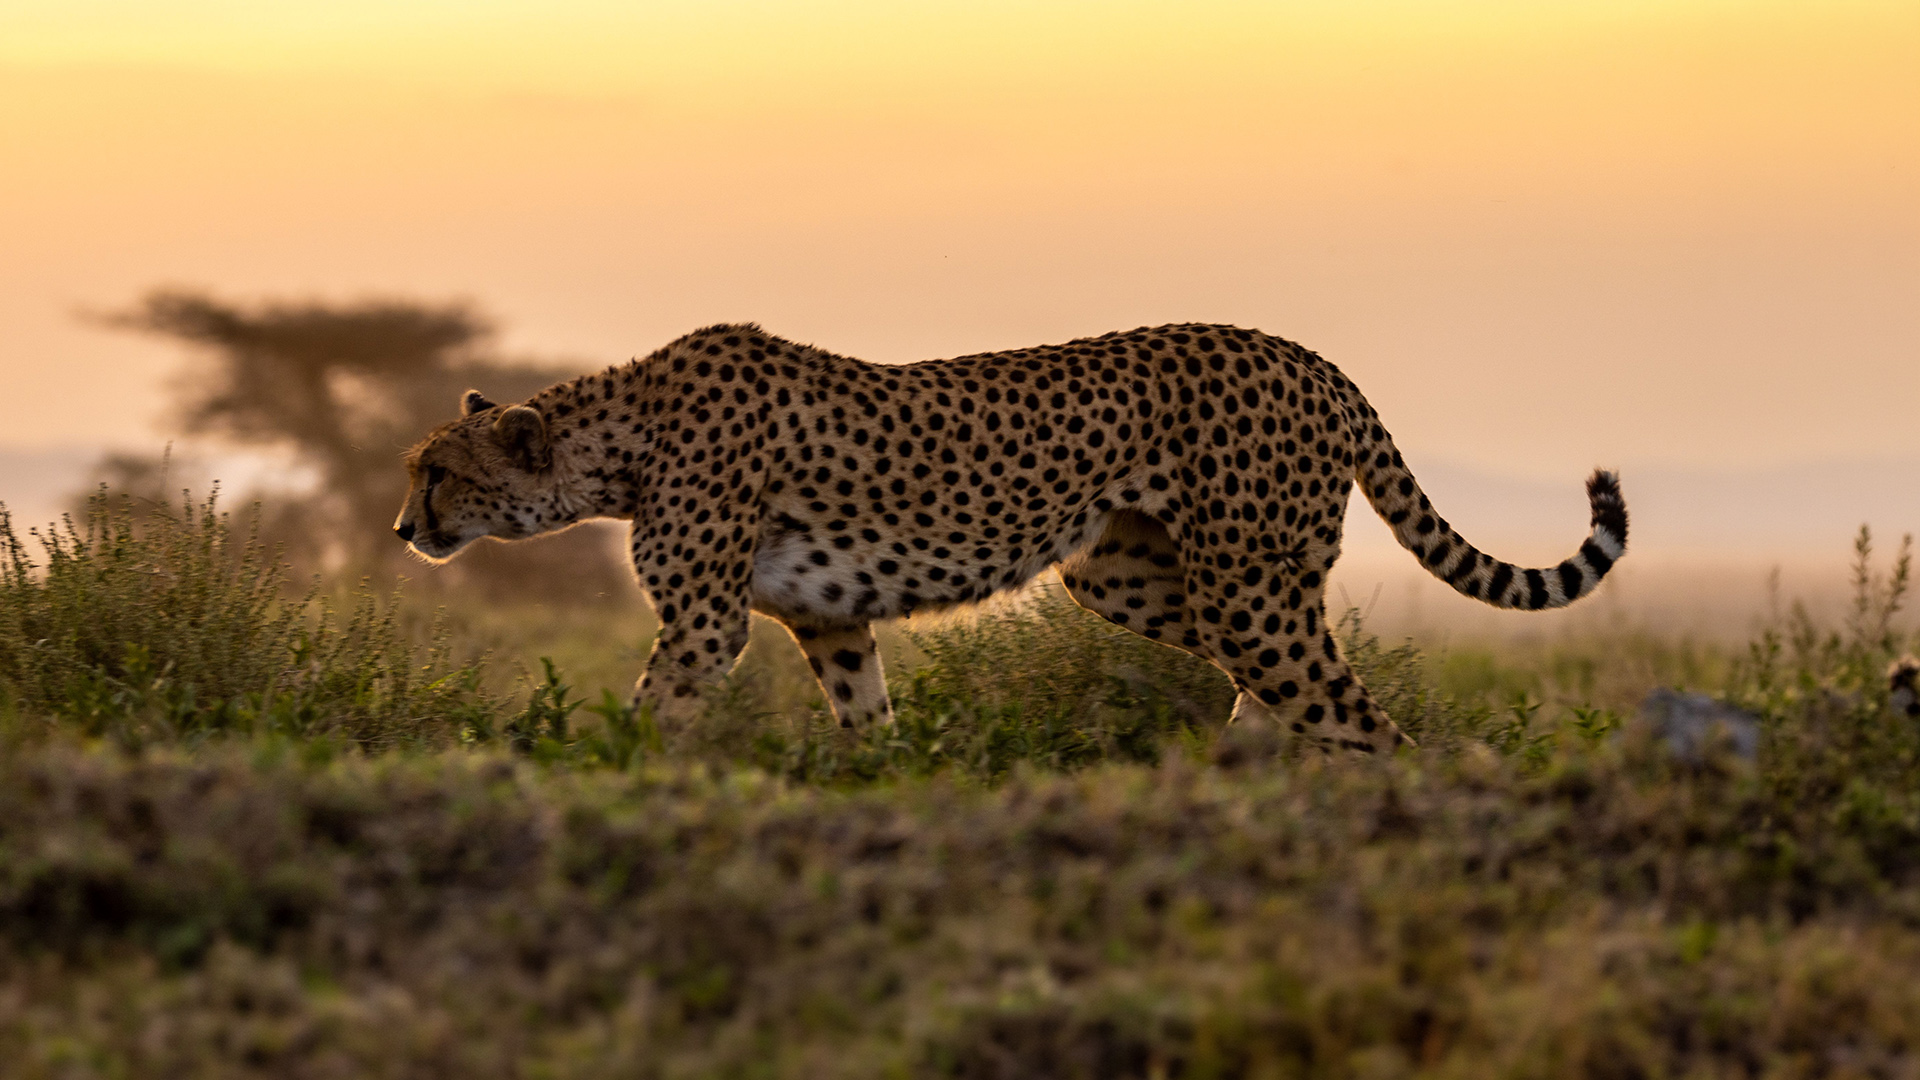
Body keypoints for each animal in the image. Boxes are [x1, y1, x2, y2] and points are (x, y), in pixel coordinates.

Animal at [393, 322, 1628, 753]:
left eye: (439, 473)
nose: (404, 527)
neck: (620, 440)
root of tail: (1309, 354)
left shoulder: (704, 624)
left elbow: (650, 714)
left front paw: (589, 772)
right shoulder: (826, 620)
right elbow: (867, 720)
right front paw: (884, 786)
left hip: (1240, 586)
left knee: (1359, 717)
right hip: (1133, 577)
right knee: (1298, 685)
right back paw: (1242, 773)